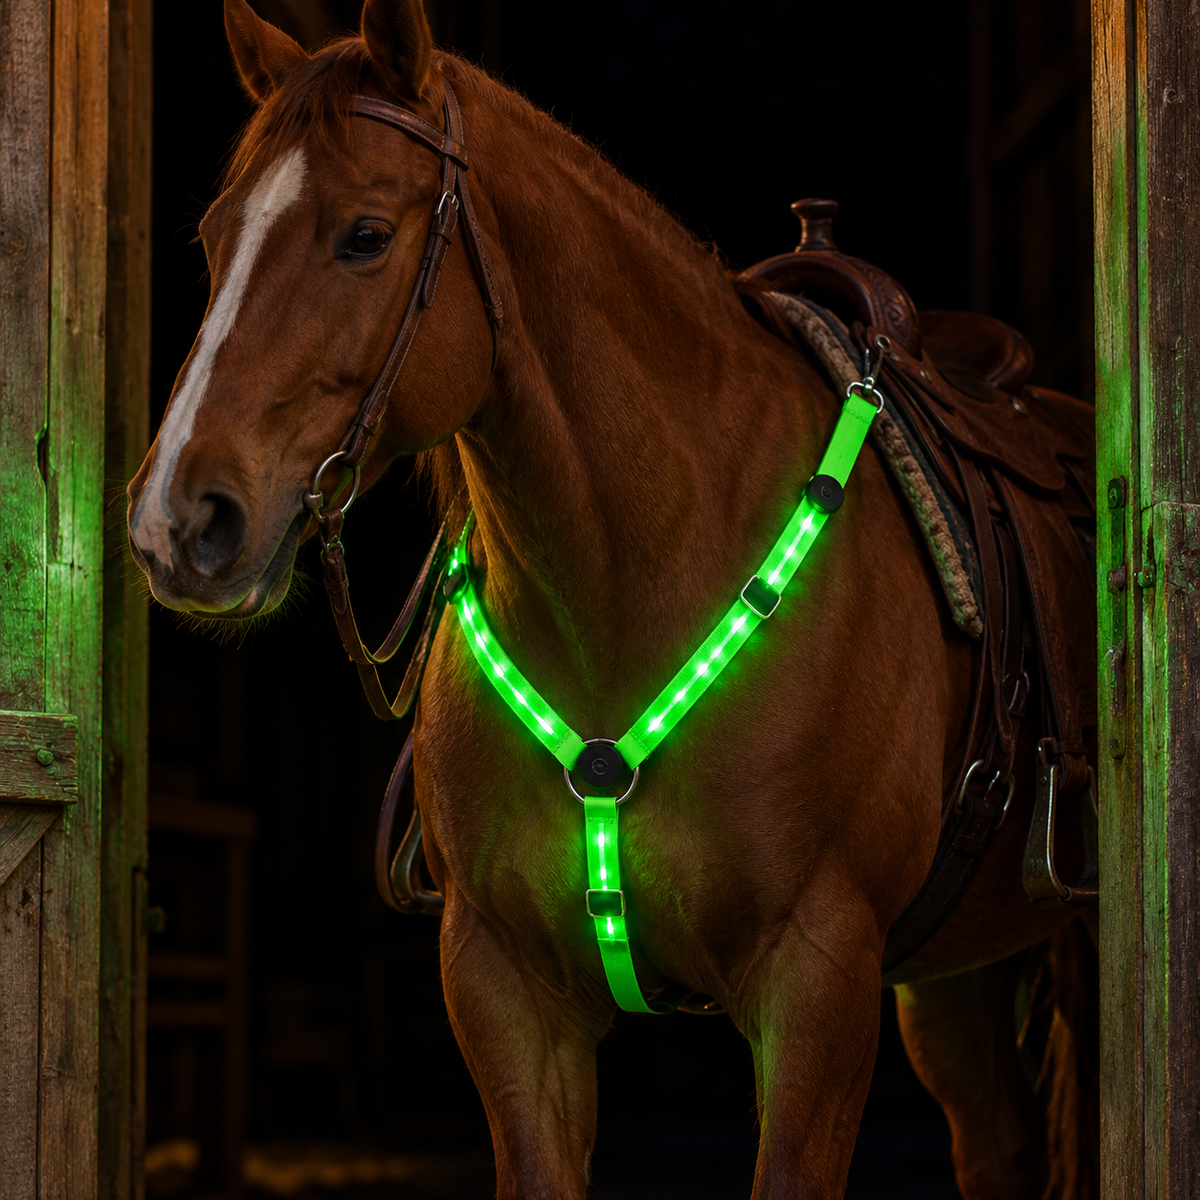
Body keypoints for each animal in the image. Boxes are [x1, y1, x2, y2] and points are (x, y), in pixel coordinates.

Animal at [127, 2, 1099, 1195]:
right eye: (214, 239)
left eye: (363, 235)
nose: (177, 522)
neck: (640, 585)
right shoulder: (504, 988)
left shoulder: (819, 980)